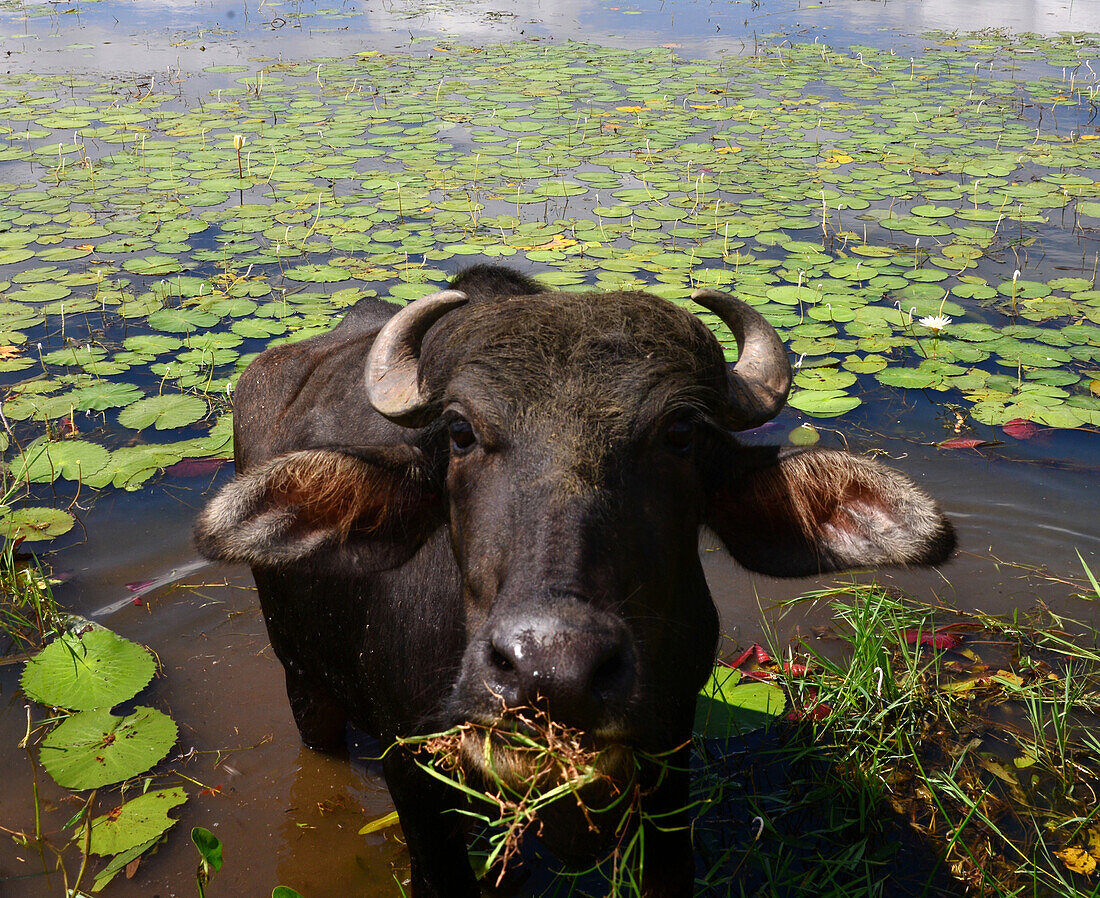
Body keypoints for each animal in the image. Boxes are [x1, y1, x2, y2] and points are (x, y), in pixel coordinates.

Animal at [193, 263, 950, 893]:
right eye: (461, 432)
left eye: (679, 433)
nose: (551, 669)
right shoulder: (410, 771)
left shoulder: (670, 749)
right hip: (303, 684)